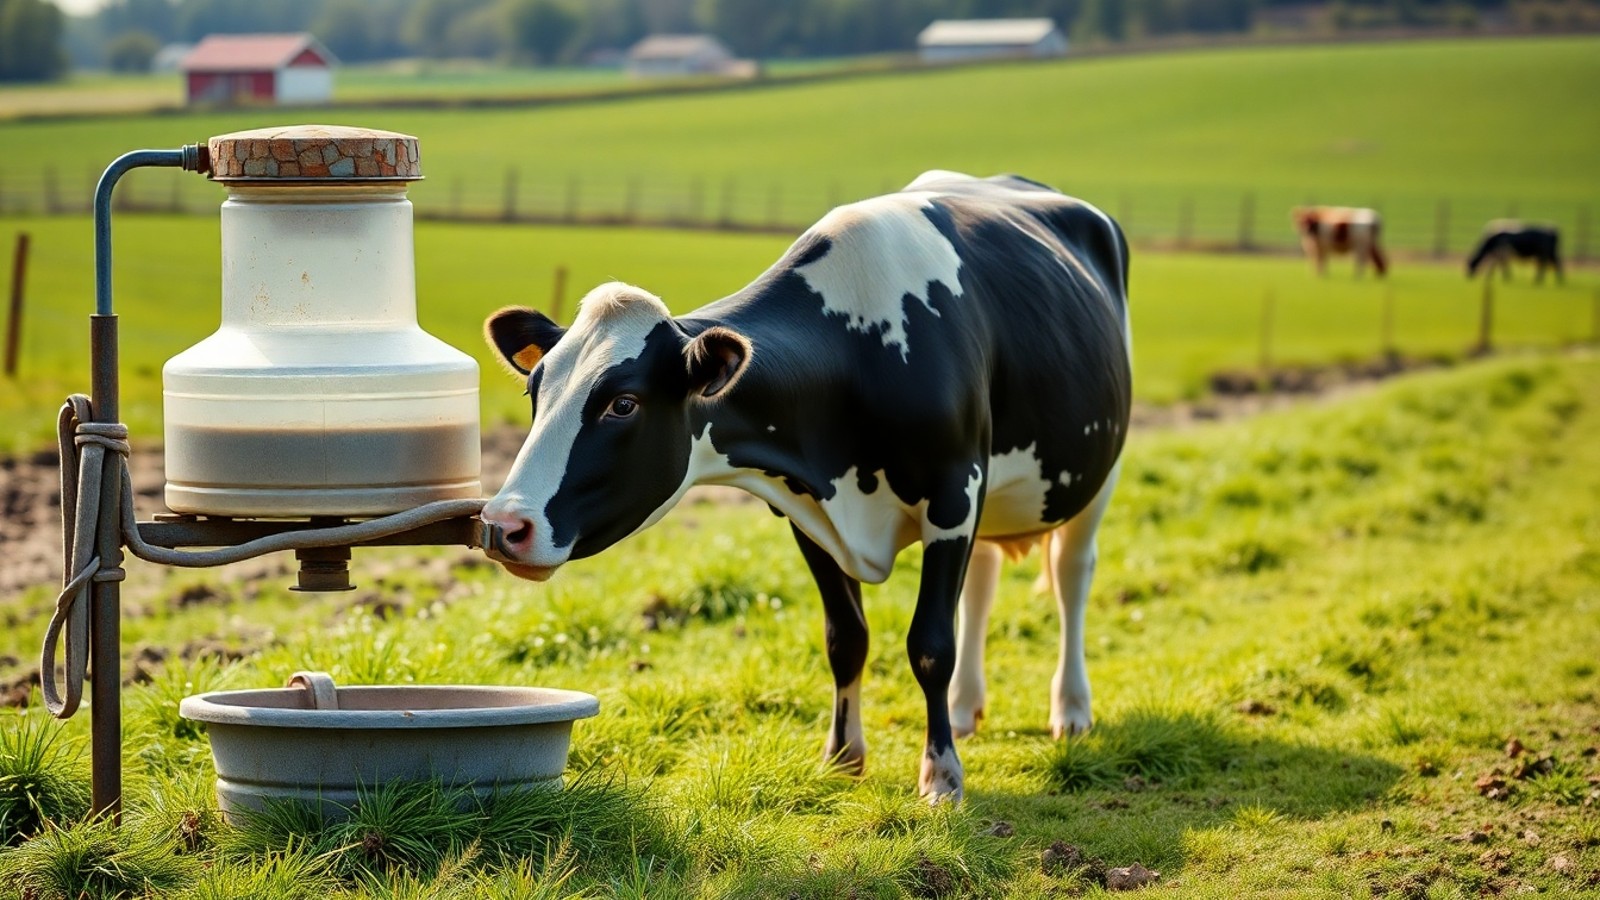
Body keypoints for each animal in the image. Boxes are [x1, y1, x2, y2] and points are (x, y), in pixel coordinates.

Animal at [479, 171, 1132, 802]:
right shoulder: (810, 515)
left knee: (1072, 576)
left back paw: (1071, 709)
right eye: (534, 390)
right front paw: (842, 758)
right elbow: (846, 638)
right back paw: (967, 708)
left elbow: (929, 644)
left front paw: (942, 775)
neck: (860, 353)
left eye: (623, 403)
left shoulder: (953, 496)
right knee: (984, 582)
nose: (503, 524)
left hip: (1096, 476)